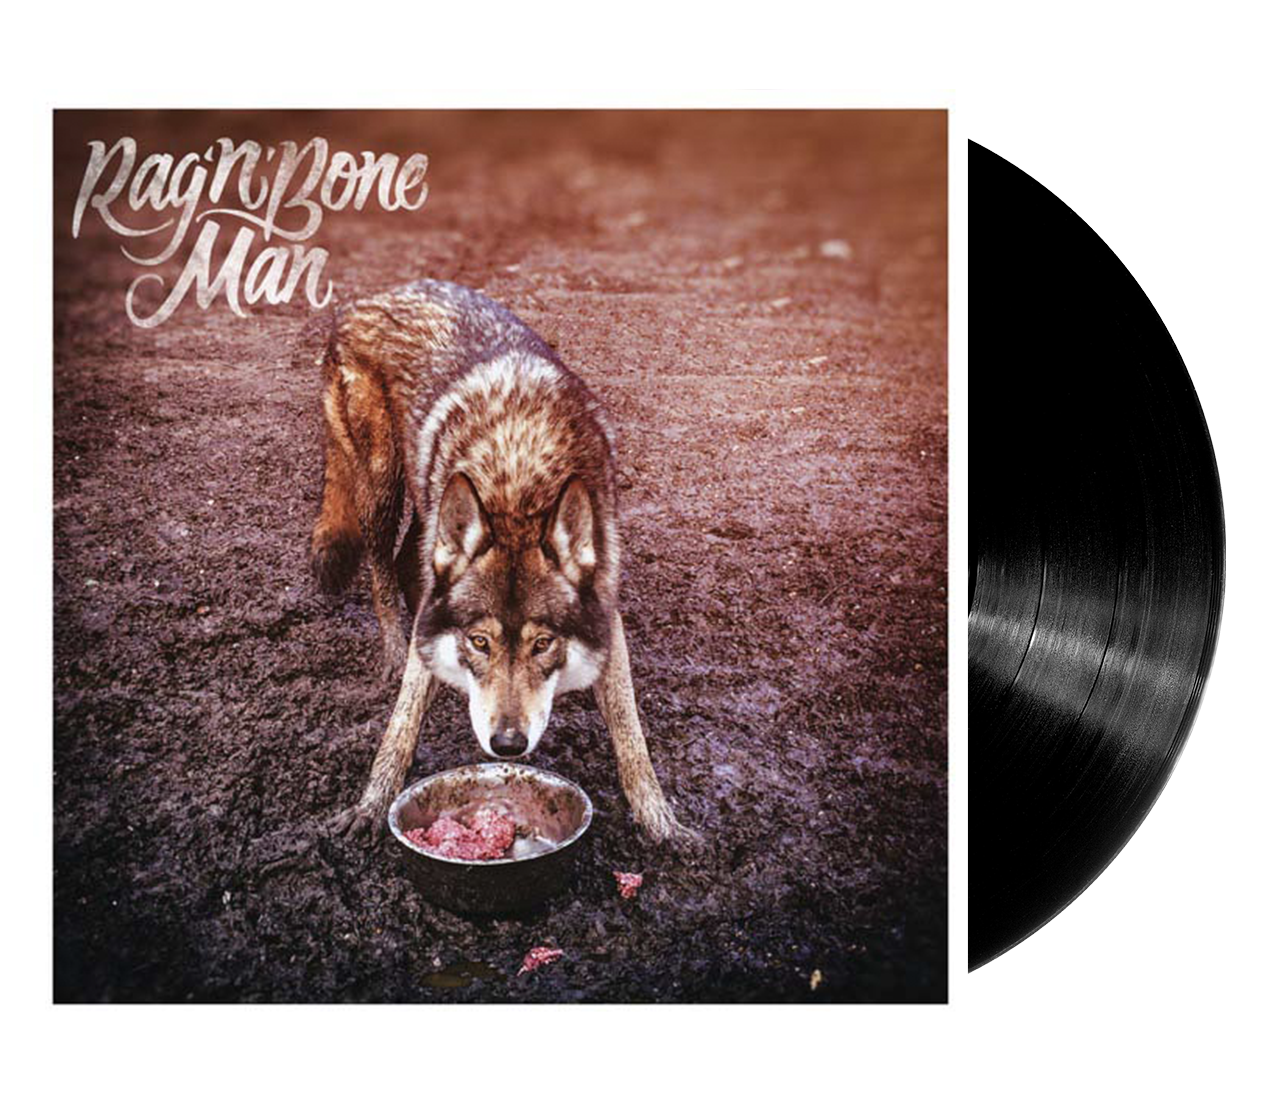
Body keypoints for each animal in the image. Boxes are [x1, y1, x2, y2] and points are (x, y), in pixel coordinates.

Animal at [311, 279, 693, 843]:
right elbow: (402, 724)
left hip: (425, 507)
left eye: (543, 644)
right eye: (480, 642)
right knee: (381, 568)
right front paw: (370, 805)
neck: (518, 490)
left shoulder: (607, 611)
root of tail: (366, 299)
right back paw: (393, 650)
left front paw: (661, 822)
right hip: (381, 485)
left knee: (408, 563)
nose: (507, 745)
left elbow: (630, 733)